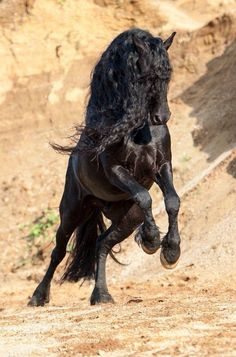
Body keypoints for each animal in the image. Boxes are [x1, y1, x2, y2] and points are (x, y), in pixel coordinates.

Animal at [28, 28, 182, 306]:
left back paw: (101, 295)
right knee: (58, 251)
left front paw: (170, 252)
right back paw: (38, 296)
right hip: (72, 211)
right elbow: (144, 196)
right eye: (146, 75)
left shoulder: (162, 165)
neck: (138, 130)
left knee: (102, 243)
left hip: (128, 217)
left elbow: (173, 201)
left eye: (168, 74)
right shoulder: (116, 170)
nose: (162, 117)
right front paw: (152, 240)